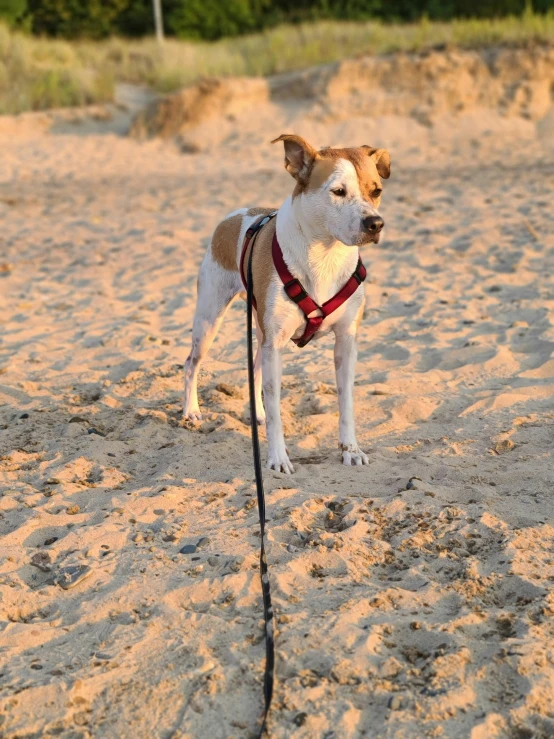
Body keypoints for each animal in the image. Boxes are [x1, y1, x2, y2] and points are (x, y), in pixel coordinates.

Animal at [181, 134, 388, 474]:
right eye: (338, 191)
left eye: (377, 191)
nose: (375, 224)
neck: (325, 256)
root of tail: (235, 215)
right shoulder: (275, 343)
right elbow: (277, 409)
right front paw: (278, 458)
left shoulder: (346, 342)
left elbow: (346, 403)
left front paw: (351, 450)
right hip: (209, 320)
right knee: (191, 363)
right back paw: (191, 411)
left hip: (260, 331)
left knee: (255, 368)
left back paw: (257, 413)